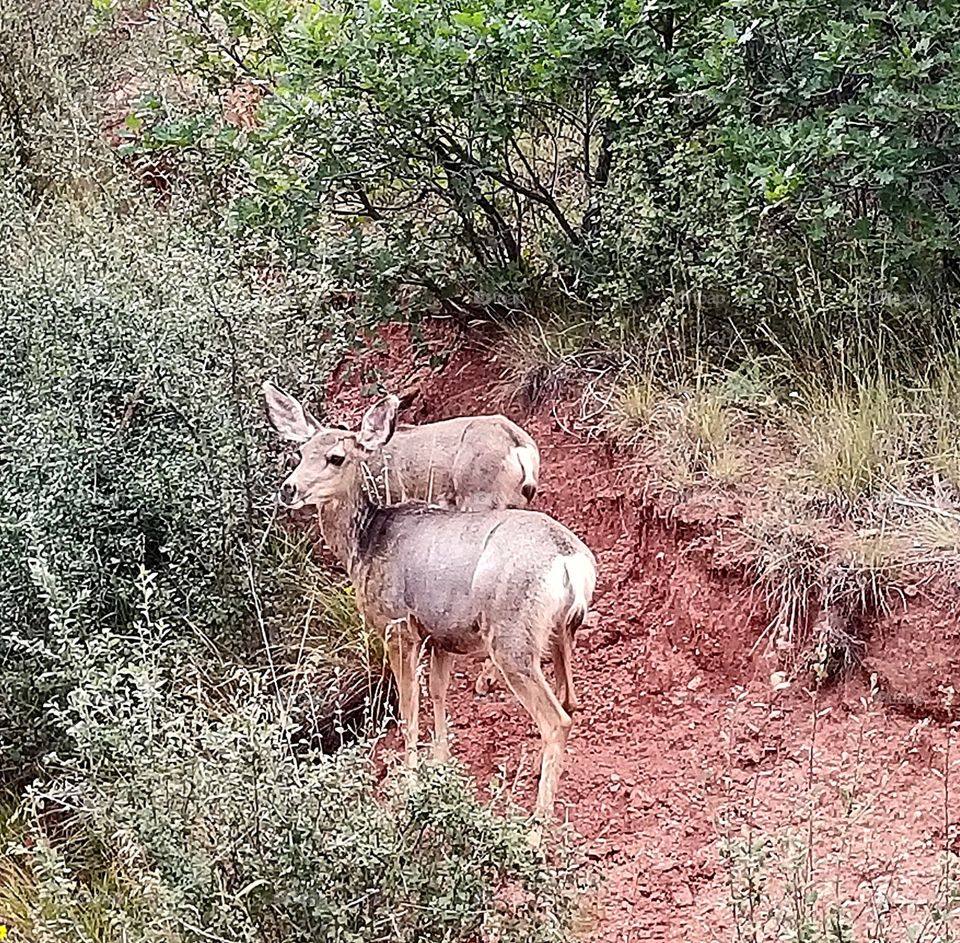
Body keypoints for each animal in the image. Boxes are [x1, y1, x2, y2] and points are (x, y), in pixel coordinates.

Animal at [263, 381, 542, 699]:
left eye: (335, 457)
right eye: (302, 451)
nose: (289, 489)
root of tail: (520, 449)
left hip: (479, 501)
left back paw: (486, 679)